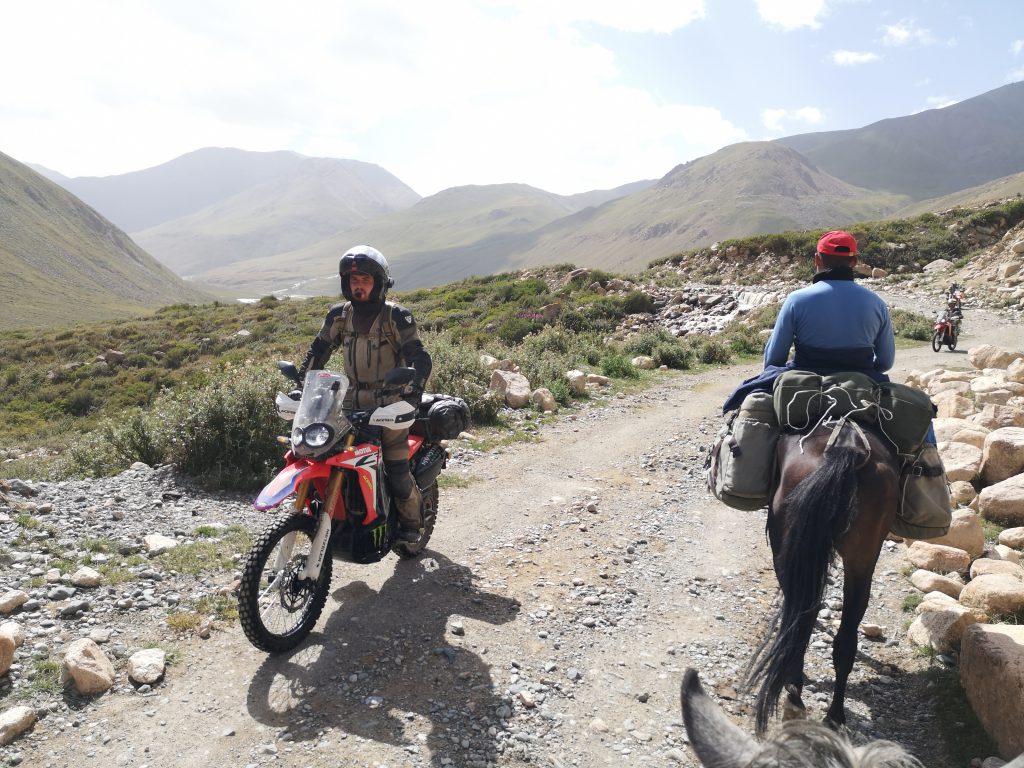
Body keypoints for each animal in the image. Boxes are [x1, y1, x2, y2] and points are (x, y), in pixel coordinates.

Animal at [745, 421, 897, 741]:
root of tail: (846, 448)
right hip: (862, 557)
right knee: (843, 637)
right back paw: (833, 716)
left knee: (801, 617)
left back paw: (797, 697)